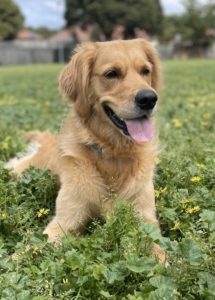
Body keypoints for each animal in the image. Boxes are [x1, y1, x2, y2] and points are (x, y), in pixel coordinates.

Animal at [5, 39, 166, 262]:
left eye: (145, 71)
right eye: (111, 74)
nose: (149, 98)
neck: (112, 154)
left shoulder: (144, 217)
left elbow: (156, 249)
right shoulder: (66, 221)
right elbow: (30, 248)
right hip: (23, 169)